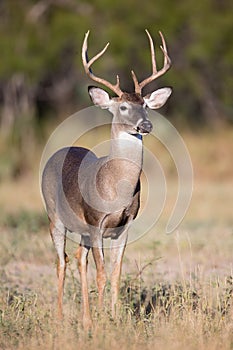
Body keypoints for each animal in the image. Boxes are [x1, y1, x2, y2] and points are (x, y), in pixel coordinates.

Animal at [41, 29, 172, 328]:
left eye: (146, 105)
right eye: (122, 107)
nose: (145, 125)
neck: (115, 188)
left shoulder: (125, 226)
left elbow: (114, 273)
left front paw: (113, 316)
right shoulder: (96, 223)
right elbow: (101, 274)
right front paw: (103, 320)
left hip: (81, 230)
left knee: (79, 259)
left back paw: (85, 318)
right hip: (54, 216)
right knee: (62, 261)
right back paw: (60, 317)